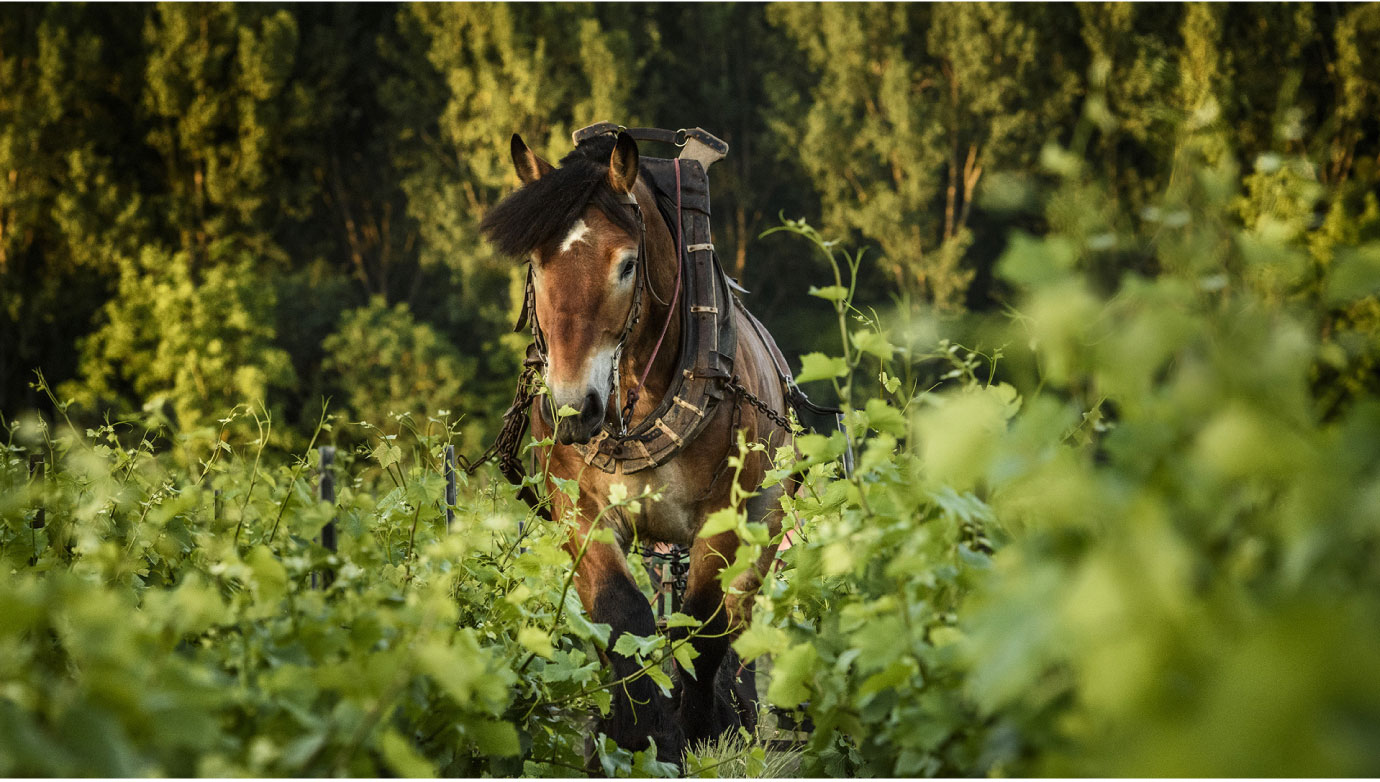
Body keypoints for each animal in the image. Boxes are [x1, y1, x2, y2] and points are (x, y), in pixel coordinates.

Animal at [480, 130, 800, 766]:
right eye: (536, 263)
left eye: (627, 264)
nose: (574, 409)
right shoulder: (579, 508)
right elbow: (621, 616)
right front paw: (637, 736)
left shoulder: (726, 516)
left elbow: (702, 628)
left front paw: (698, 733)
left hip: (767, 518)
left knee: (737, 620)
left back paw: (737, 715)